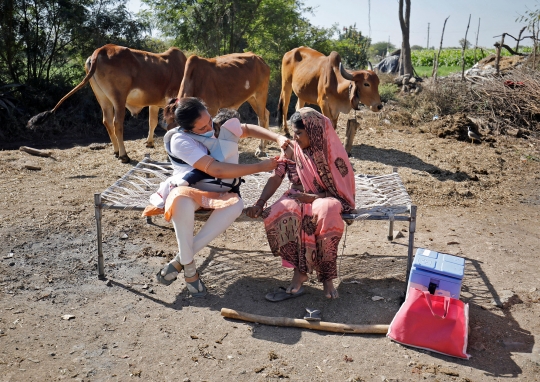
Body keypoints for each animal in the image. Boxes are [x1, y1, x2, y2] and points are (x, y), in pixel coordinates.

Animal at [30, 44, 190, 163]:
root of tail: (101, 50)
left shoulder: (154, 104)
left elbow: (152, 122)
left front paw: (149, 142)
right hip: (119, 98)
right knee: (117, 123)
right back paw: (124, 155)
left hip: (103, 98)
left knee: (107, 121)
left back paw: (116, 151)